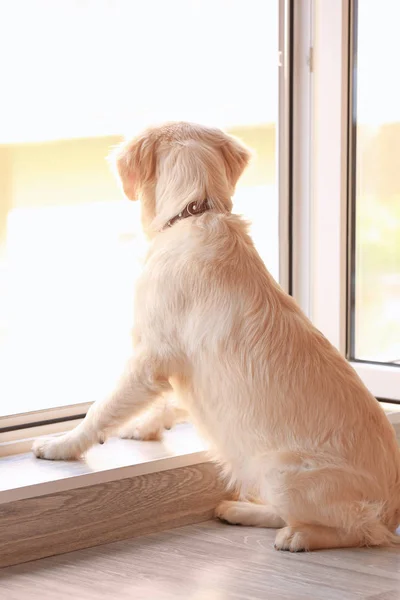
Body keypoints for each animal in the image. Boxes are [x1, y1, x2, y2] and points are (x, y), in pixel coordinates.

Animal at [32, 123, 400, 552]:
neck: (195, 212)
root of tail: (391, 510)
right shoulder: (183, 365)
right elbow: (169, 401)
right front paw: (143, 427)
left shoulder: (151, 354)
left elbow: (101, 409)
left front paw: (60, 445)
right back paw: (238, 510)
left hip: (279, 469)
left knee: (357, 530)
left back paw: (297, 537)